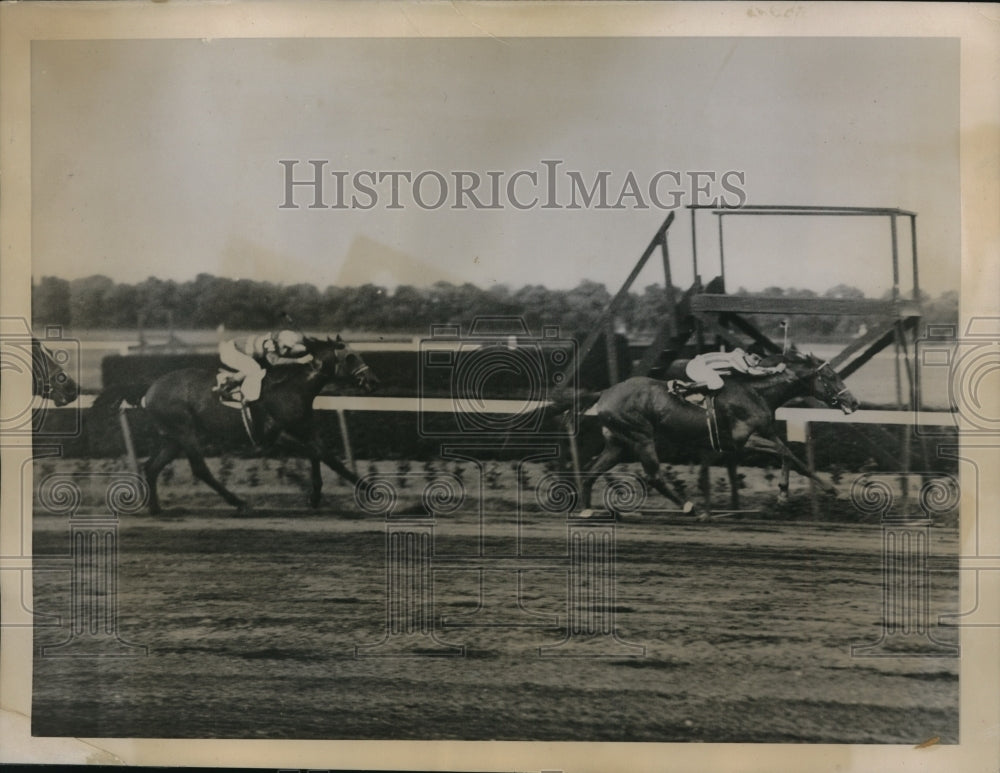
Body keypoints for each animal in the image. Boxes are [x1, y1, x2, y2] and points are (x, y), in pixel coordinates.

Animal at [94, 336, 376, 512]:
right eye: (350, 357)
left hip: (172, 438)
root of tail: (150, 388)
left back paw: (155, 508)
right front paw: (367, 489)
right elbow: (320, 454)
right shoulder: (274, 436)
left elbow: (324, 455)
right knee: (199, 469)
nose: (373, 380)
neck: (293, 388)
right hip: (185, 432)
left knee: (151, 467)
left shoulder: (305, 430)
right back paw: (239, 502)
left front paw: (319, 496)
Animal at [580, 350, 860, 520]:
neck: (756, 392)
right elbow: (787, 453)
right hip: (640, 437)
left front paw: (786, 494)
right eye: (830, 376)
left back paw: (586, 510)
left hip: (619, 443)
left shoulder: (766, 433)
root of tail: (605, 392)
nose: (854, 402)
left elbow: (790, 456)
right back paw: (693, 508)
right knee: (654, 476)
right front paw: (828, 490)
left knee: (591, 469)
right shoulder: (742, 441)